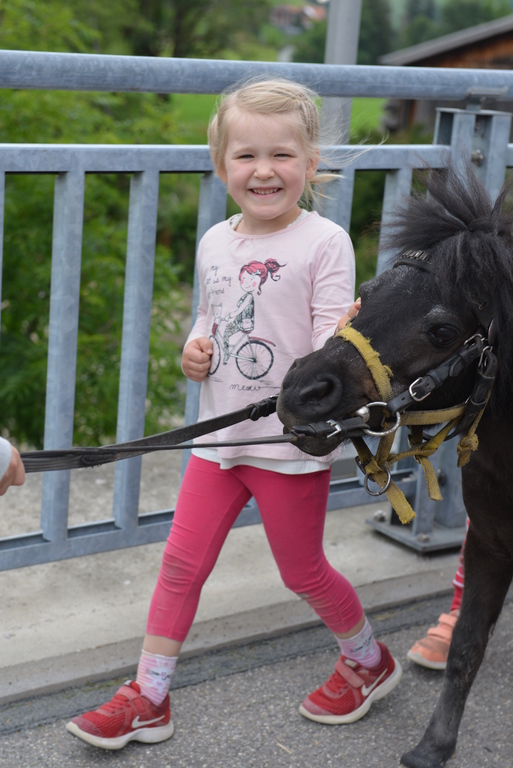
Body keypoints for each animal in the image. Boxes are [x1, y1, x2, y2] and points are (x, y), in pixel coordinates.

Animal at [276, 162, 513, 768]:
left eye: (442, 330)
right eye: (366, 293)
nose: (302, 390)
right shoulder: (491, 539)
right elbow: (466, 647)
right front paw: (434, 746)